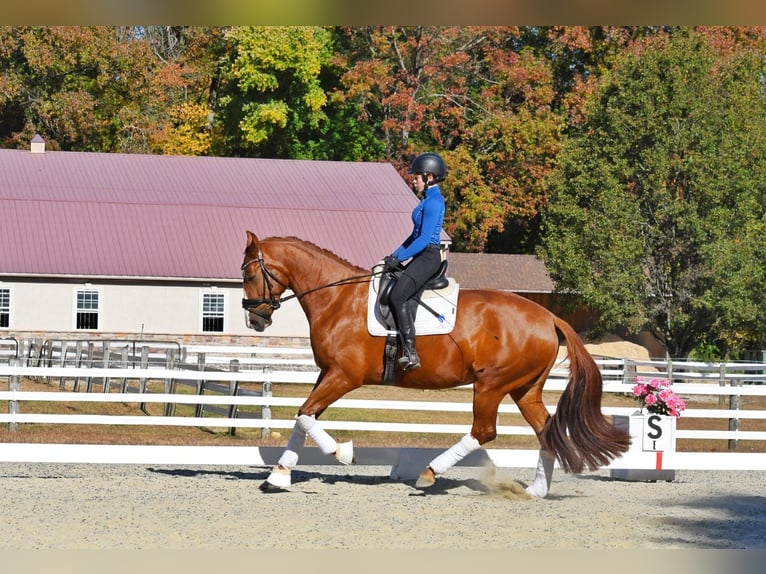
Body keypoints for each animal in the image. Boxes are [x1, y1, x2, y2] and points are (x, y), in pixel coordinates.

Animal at [242, 232, 632, 498]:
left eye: (248, 275)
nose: (254, 321)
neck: (337, 298)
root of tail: (549, 316)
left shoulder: (343, 376)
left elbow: (306, 414)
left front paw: (342, 453)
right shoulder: (327, 374)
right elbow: (304, 416)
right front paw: (278, 475)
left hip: (491, 385)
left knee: (483, 432)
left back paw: (429, 473)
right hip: (525, 388)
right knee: (545, 430)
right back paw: (535, 491)